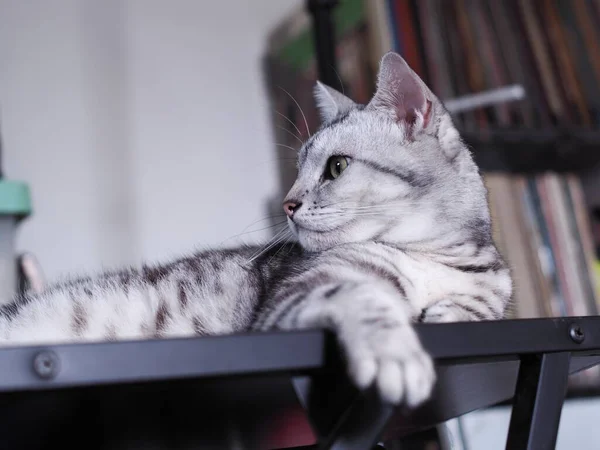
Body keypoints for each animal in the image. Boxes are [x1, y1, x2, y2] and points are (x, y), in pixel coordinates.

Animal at [0, 51, 510, 408]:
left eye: (337, 166)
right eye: (298, 168)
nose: (287, 203)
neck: (431, 254)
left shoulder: (491, 291)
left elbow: (478, 307)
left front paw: (447, 312)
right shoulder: (298, 294)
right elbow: (361, 296)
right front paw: (398, 352)